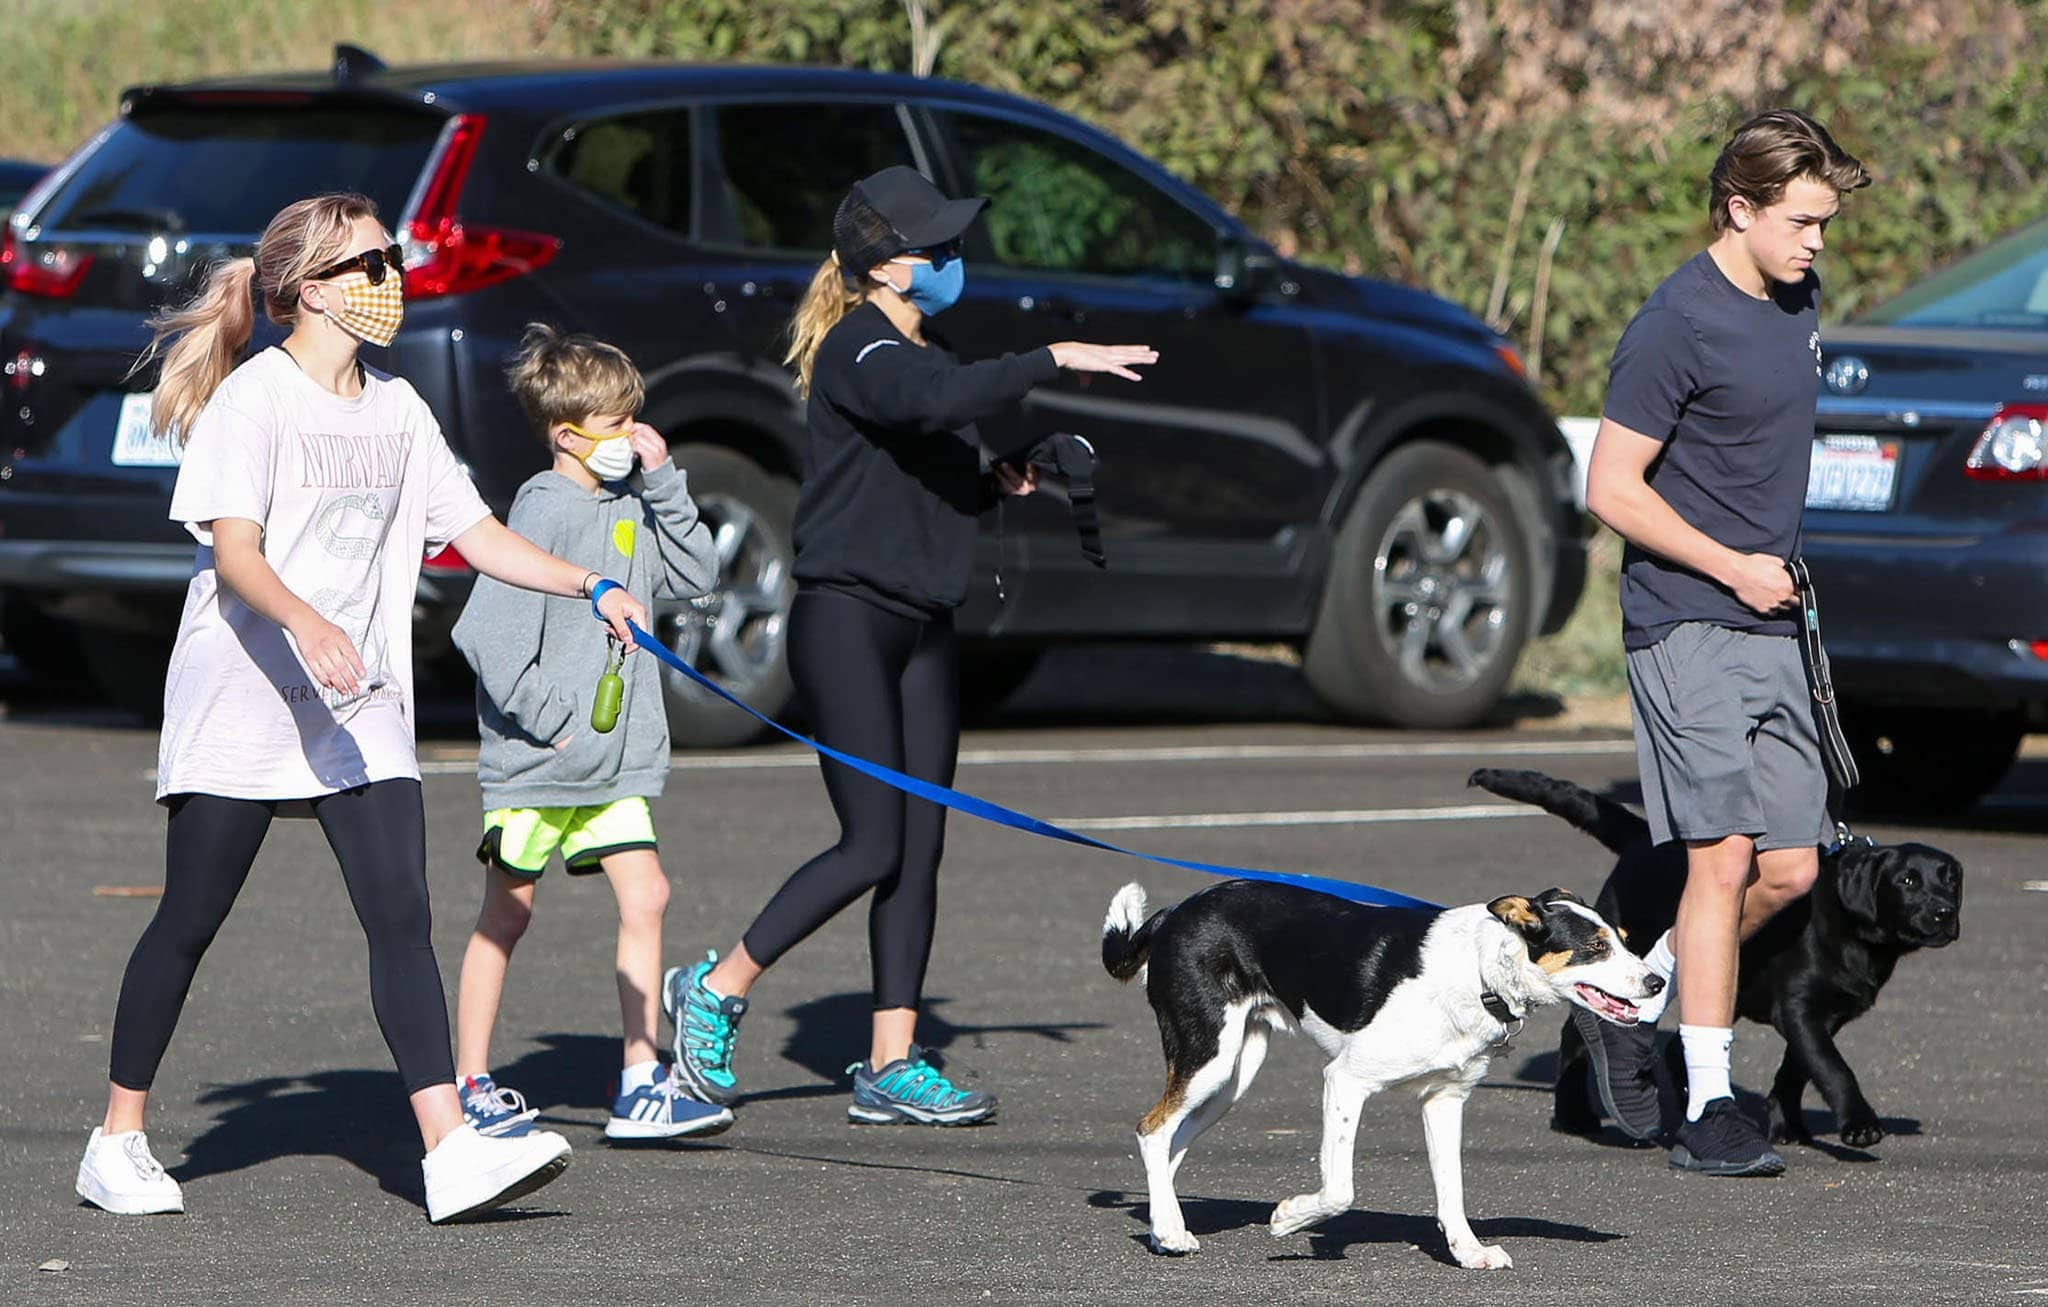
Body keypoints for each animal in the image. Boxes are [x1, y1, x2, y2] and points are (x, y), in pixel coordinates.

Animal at [1105, 880, 1662, 1270]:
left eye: (1625, 941)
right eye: (1596, 947)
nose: (1657, 982)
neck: (1479, 972)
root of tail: (1173, 914)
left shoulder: (1445, 1100)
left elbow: (1452, 1189)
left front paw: (1468, 1252)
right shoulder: (1345, 1080)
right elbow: (1340, 1190)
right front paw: (1290, 1218)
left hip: (1232, 1078)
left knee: (1170, 1142)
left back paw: (1164, 1228)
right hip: (1209, 1056)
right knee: (1151, 1131)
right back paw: (1171, 1231)